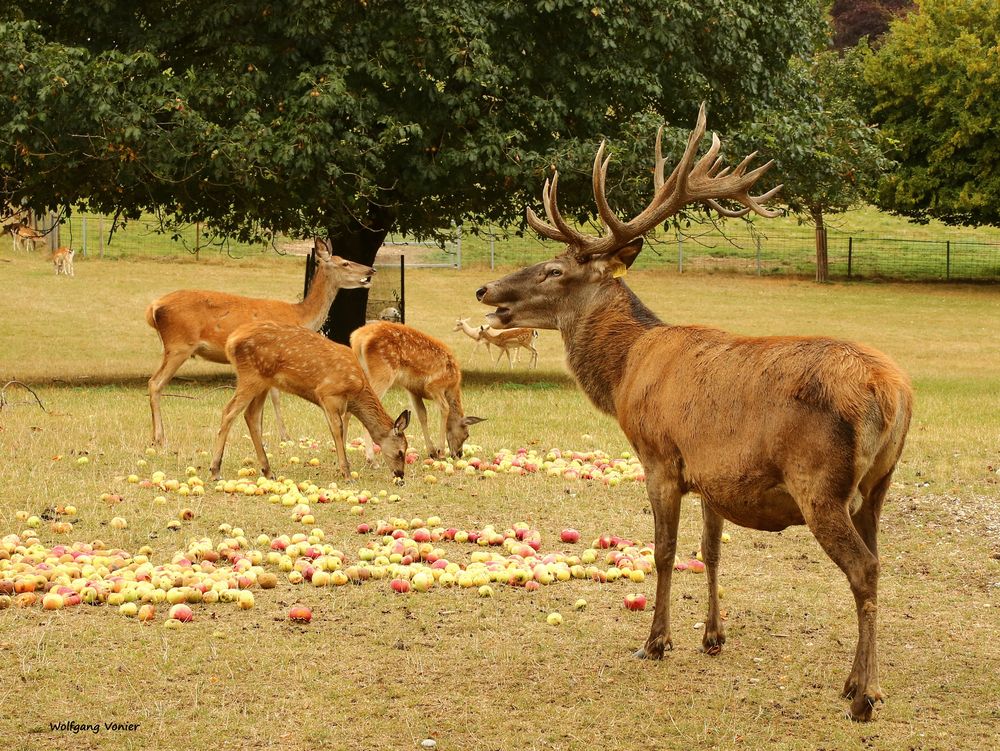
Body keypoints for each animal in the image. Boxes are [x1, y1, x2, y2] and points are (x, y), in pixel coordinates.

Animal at [143, 238, 374, 444]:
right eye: (345, 263)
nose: (370, 270)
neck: (300, 317)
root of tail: (154, 307)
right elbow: (276, 396)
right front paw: (284, 436)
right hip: (179, 345)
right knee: (155, 382)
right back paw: (160, 438)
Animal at [209, 322, 412, 482]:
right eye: (401, 451)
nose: (400, 474)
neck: (356, 391)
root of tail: (230, 341)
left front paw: (342, 469)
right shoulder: (328, 394)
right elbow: (338, 430)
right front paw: (347, 474)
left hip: (263, 381)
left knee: (251, 416)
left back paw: (268, 471)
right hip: (250, 376)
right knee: (228, 411)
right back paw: (215, 470)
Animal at [350, 322, 482, 462]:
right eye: (467, 434)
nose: (458, 454)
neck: (452, 385)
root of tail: (357, 338)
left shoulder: (413, 390)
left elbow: (422, 414)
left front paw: (432, 452)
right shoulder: (434, 386)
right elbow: (445, 409)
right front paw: (440, 452)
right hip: (382, 371)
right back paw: (370, 458)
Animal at [478, 106, 916, 724]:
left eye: (554, 270)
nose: (485, 290)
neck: (625, 371)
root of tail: (894, 393)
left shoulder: (659, 456)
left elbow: (663, 552)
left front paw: (655, 641)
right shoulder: (714, 473)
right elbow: (710, 551)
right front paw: (712, 636)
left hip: (820, 483)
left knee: (864, 569)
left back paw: (864, 695)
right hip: (878, 485)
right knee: (877, 558)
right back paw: (854, 681)